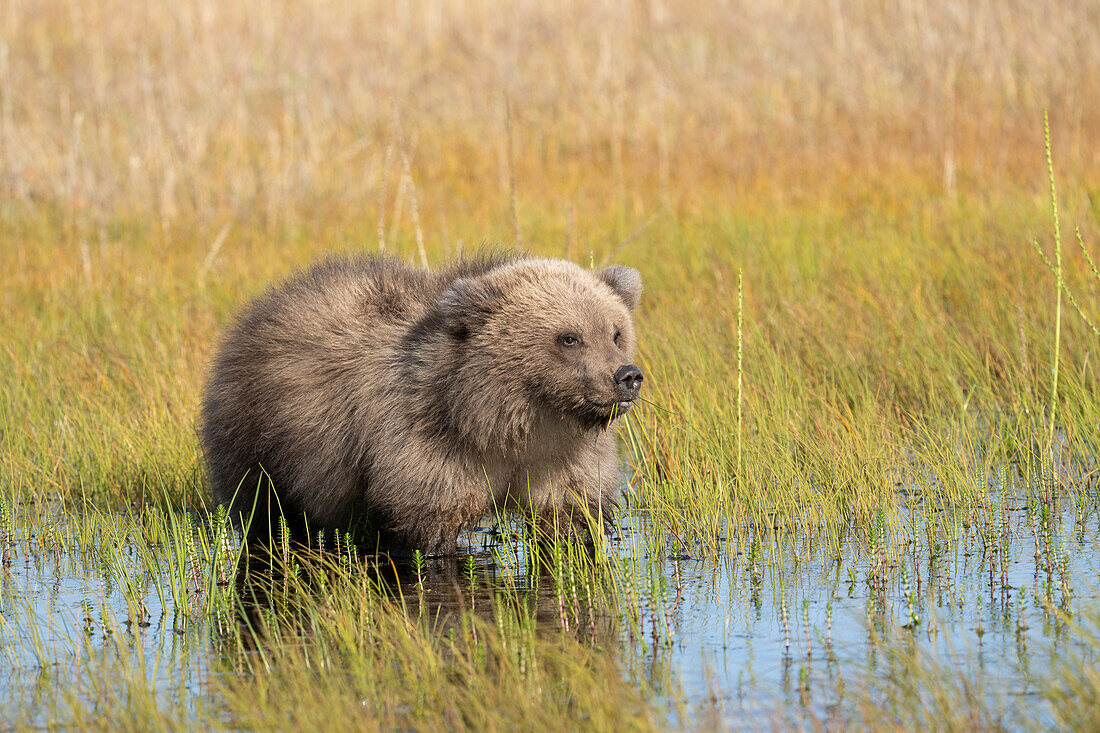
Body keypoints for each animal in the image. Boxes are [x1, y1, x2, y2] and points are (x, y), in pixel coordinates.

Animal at [199, 253, 642, 554]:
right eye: (569, 337)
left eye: (615, 331)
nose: (627, 376)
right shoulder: (427, 446)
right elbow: (429, 528)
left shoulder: (562, 456)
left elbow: (571, 515)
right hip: (261, 439)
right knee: (265, 512)